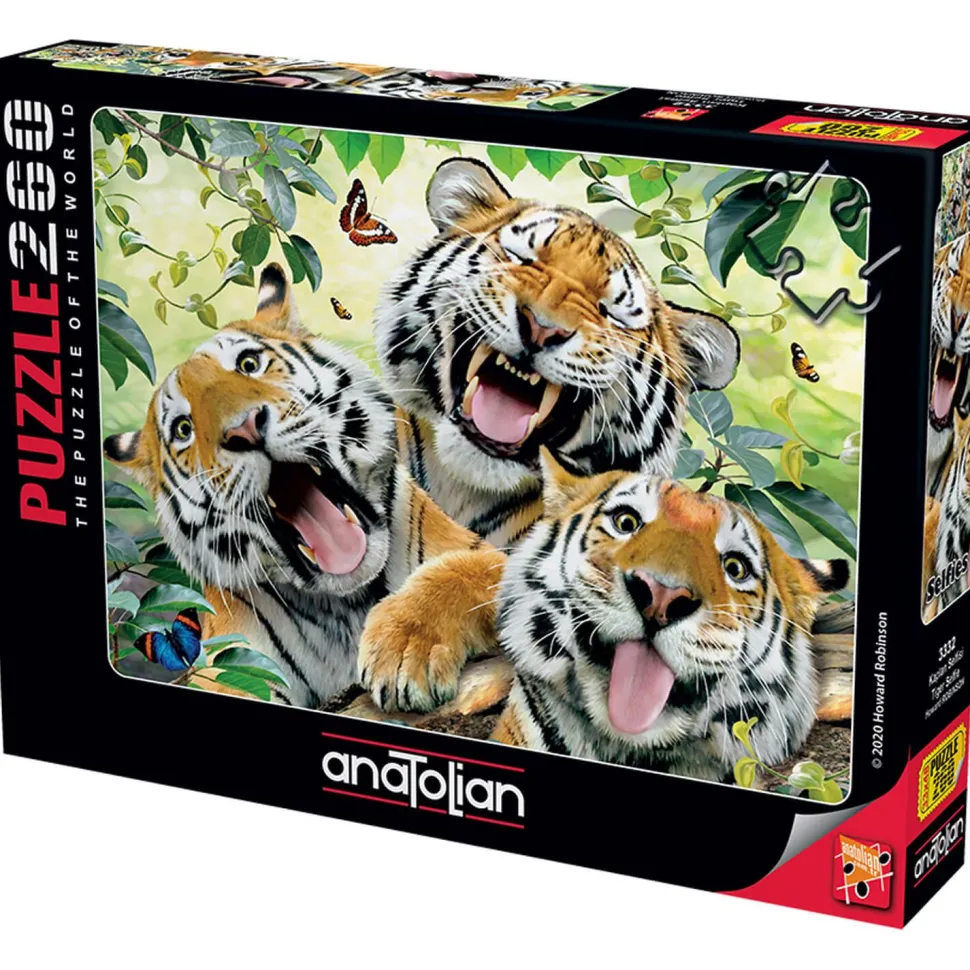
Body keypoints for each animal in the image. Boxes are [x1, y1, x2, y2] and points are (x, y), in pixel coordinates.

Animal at [104, 264, 486, 710]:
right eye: (184, 429)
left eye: (249, 363)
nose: (244, 428)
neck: (348, 603)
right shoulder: (236, 661)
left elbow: (464, 573)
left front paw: (406, 649)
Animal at [359, 156, 739, 712]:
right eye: (521, 256)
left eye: (612, 311)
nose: (541, 326)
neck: (467, 484)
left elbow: (482, 568)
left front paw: (406, 642)